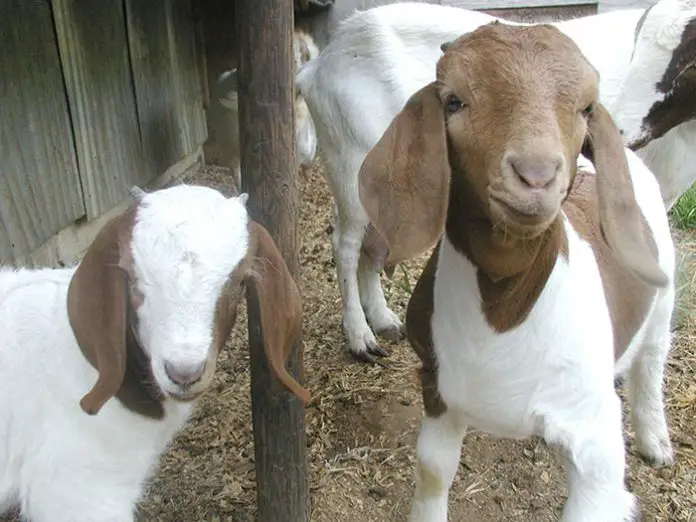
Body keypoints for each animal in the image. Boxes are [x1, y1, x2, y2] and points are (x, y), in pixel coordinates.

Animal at [296, 1, 657, 360]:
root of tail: (318, 67)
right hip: (350, 164)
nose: (536, 175)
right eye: (456, 101)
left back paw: (383, 319)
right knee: (345, 244)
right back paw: (360, 336)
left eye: (584, 107)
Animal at [358, 22, 674, 522]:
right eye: (454, 101)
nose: (536, 176)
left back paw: (655, 441)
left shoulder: (597, 454)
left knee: (653, 361)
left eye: (586, 107)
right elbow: (432, 472)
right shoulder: (439, 391)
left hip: (664, 298)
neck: (503, 305)